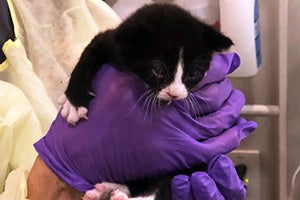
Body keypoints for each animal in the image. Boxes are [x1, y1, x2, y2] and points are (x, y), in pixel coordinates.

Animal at [61, 3, 233, 200]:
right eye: (158, 70)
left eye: (192, 73)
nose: (174, 93)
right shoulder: (111, 42)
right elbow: (89, 54)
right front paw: (74, 101)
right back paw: (108, 190)